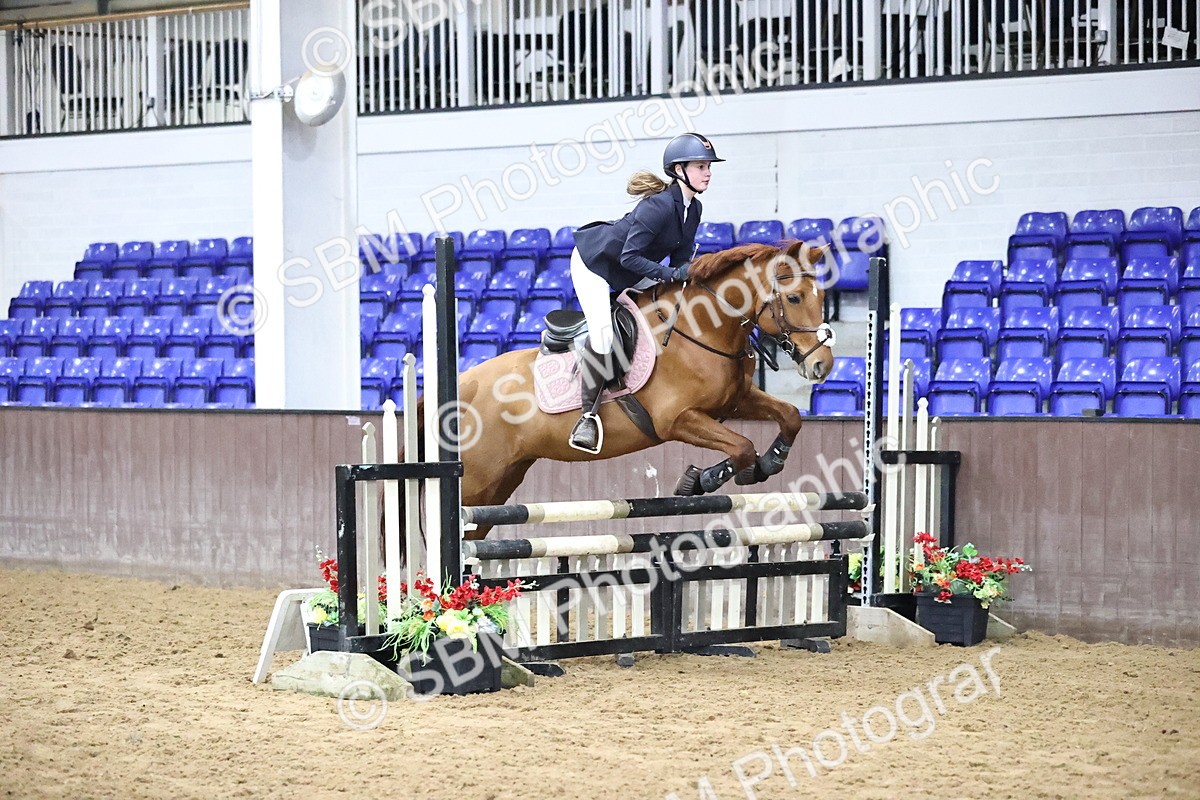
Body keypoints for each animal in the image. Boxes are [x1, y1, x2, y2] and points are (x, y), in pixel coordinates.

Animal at [448, 239, 836, 541]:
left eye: (822, 297)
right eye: (795, 298)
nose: (823, 365)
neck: (701, 330)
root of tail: (465, 384)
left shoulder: (736, 402)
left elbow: (788, 417)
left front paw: (767, 463)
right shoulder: (677, 420)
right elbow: (741, 446)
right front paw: (700, 480)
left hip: (501, 481)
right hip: (478, 482)